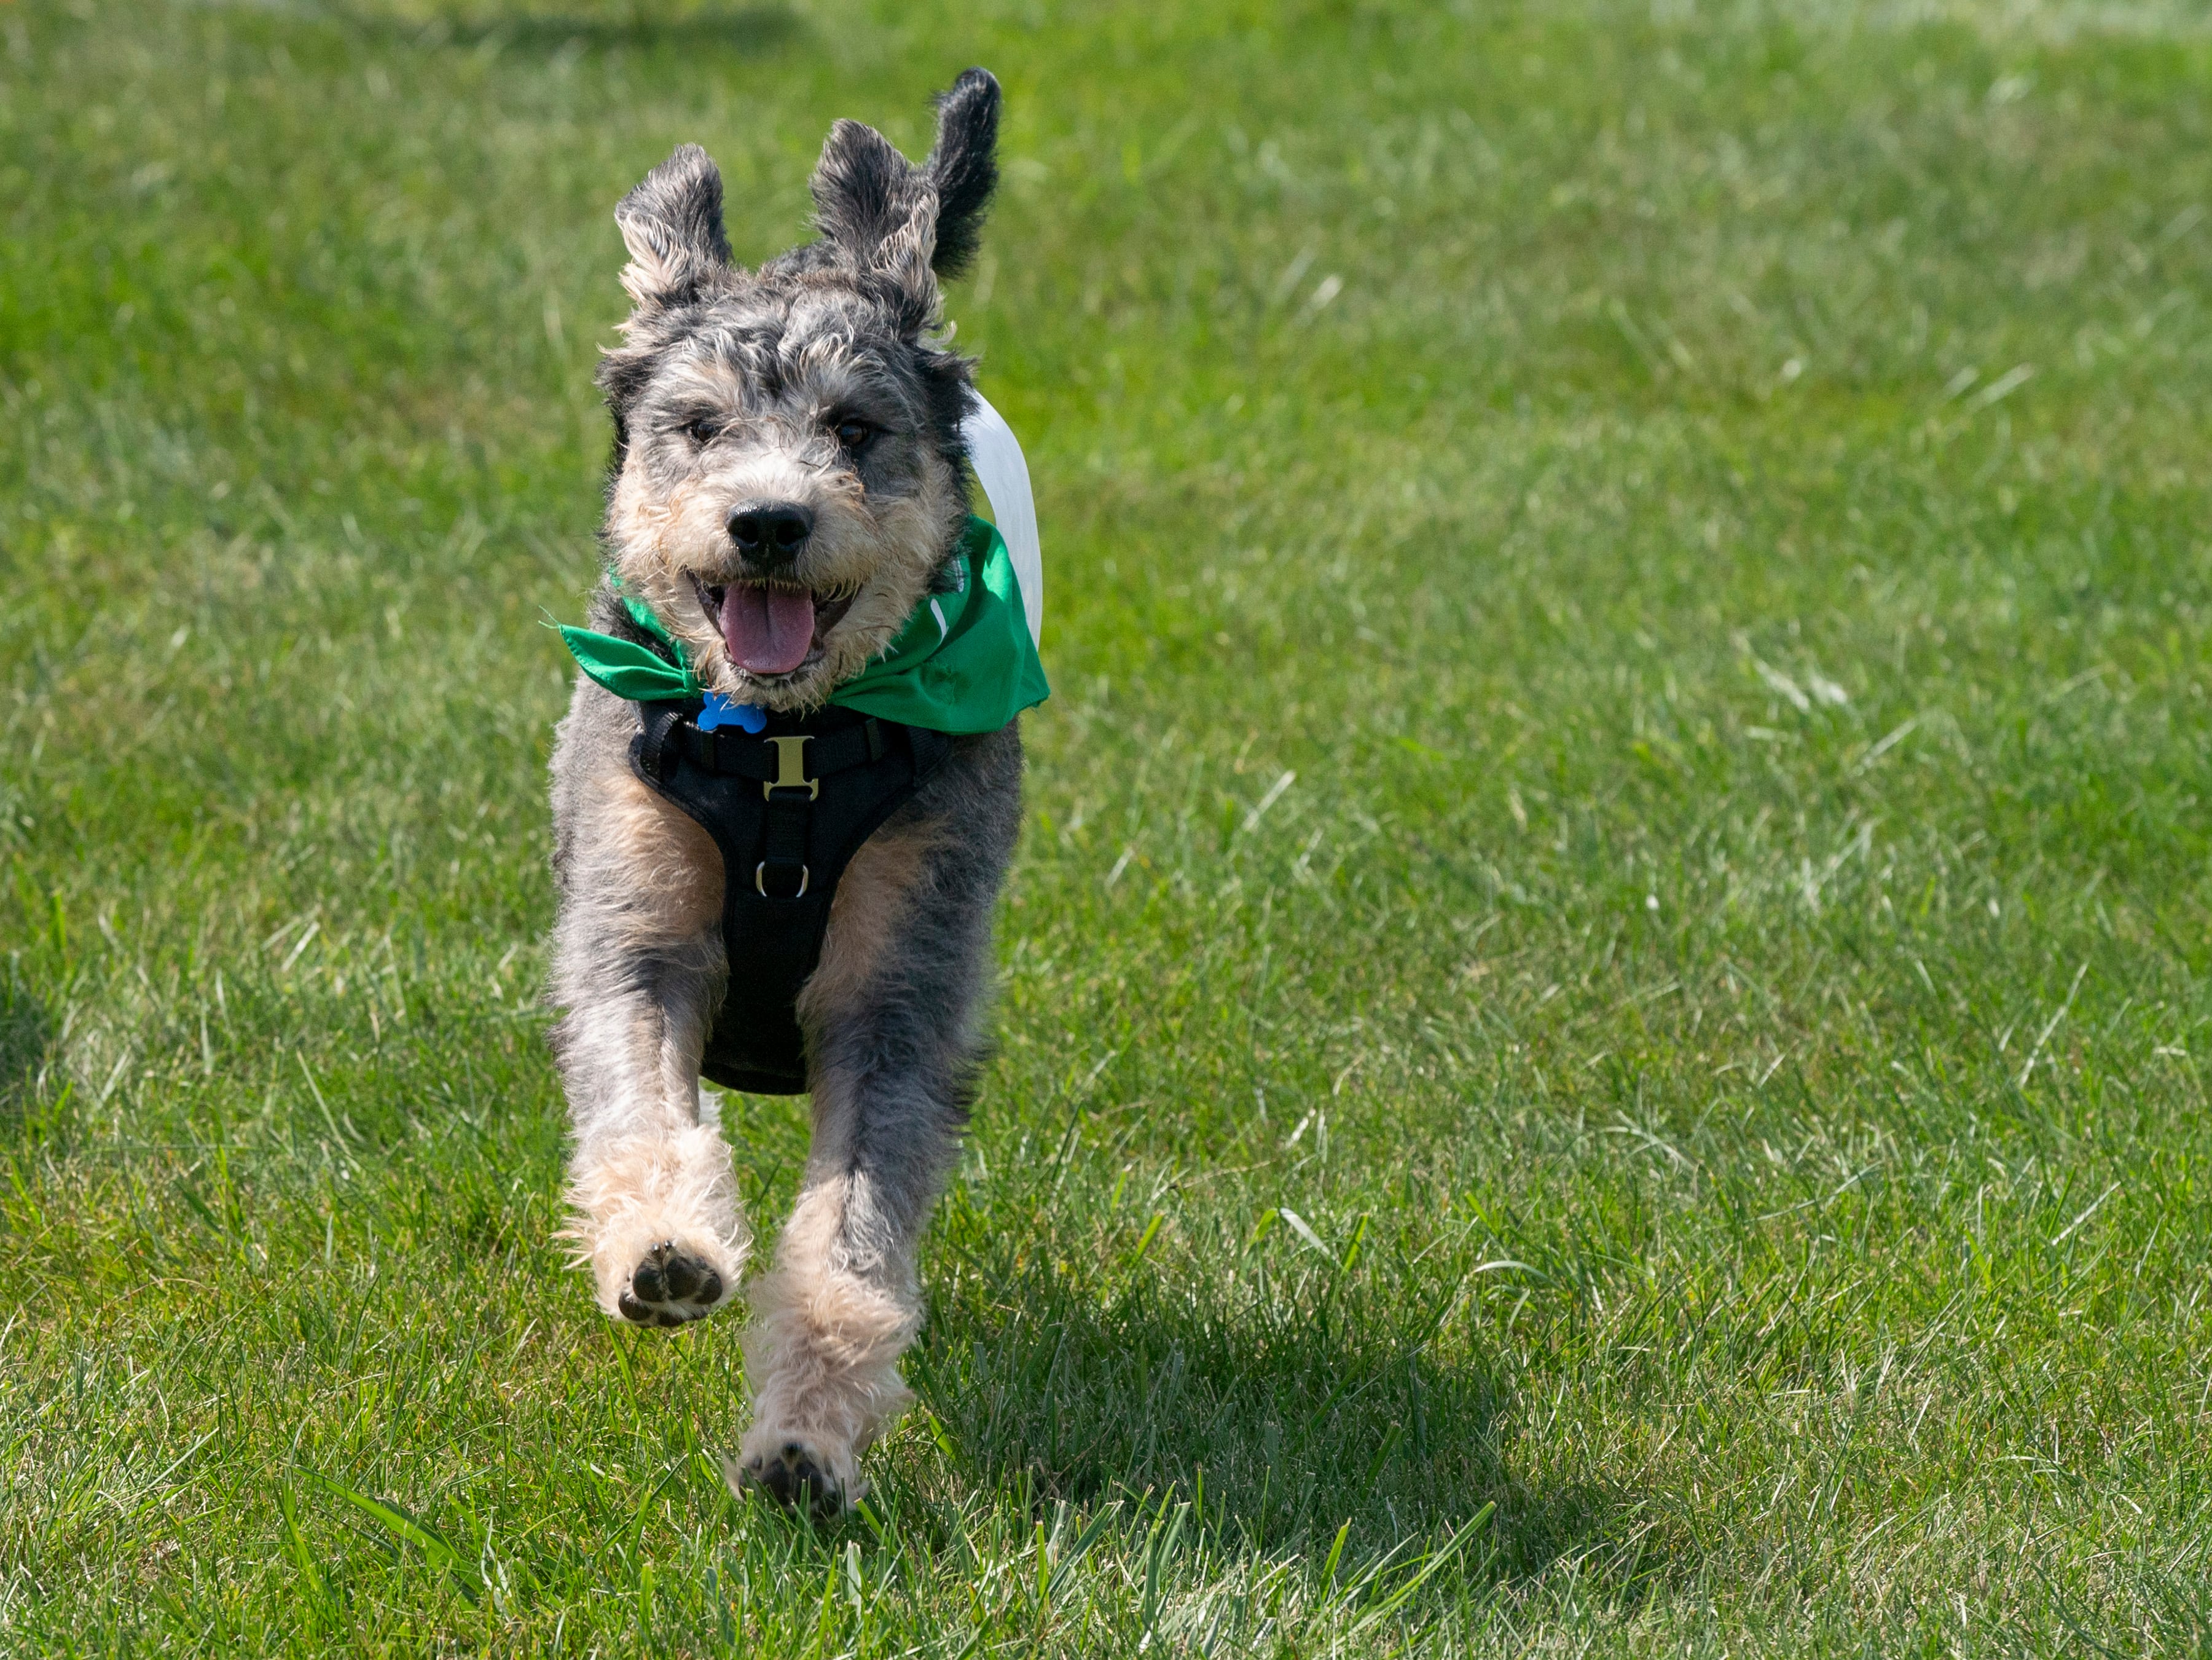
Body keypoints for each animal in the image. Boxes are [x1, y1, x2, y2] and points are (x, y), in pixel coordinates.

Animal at [539, 71, 1022, 1514]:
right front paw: (665, 1252)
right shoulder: (632, 927)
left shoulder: (900, 985)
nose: (768, 520)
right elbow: (640, 1110)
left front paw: (806, 1440)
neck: (787, 751)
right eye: (700, 427)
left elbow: (849, 1244)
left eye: (855, 430)